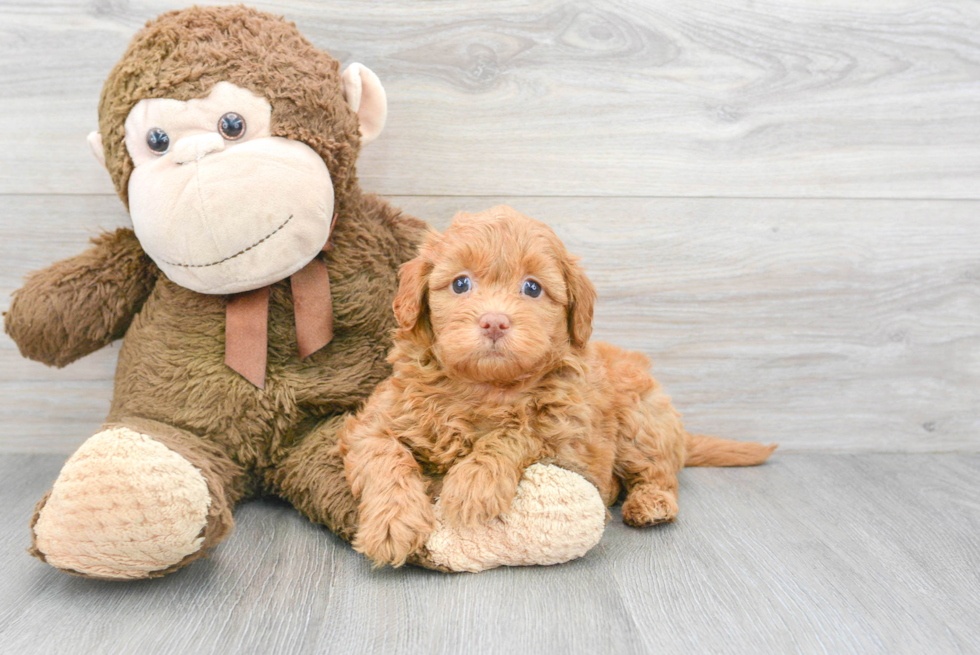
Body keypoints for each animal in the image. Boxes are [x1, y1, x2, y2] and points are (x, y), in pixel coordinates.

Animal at [340, 206, 776, 568]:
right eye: (461, 284)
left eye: (532, 288)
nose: (494, 321)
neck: (485, 388)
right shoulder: (374, 421)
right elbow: (384, 457)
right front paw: (392, 524)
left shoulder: (566, 433)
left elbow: (517, 432)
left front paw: (474, 481)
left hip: (641, 420)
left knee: (660, 471)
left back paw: (651, 502)